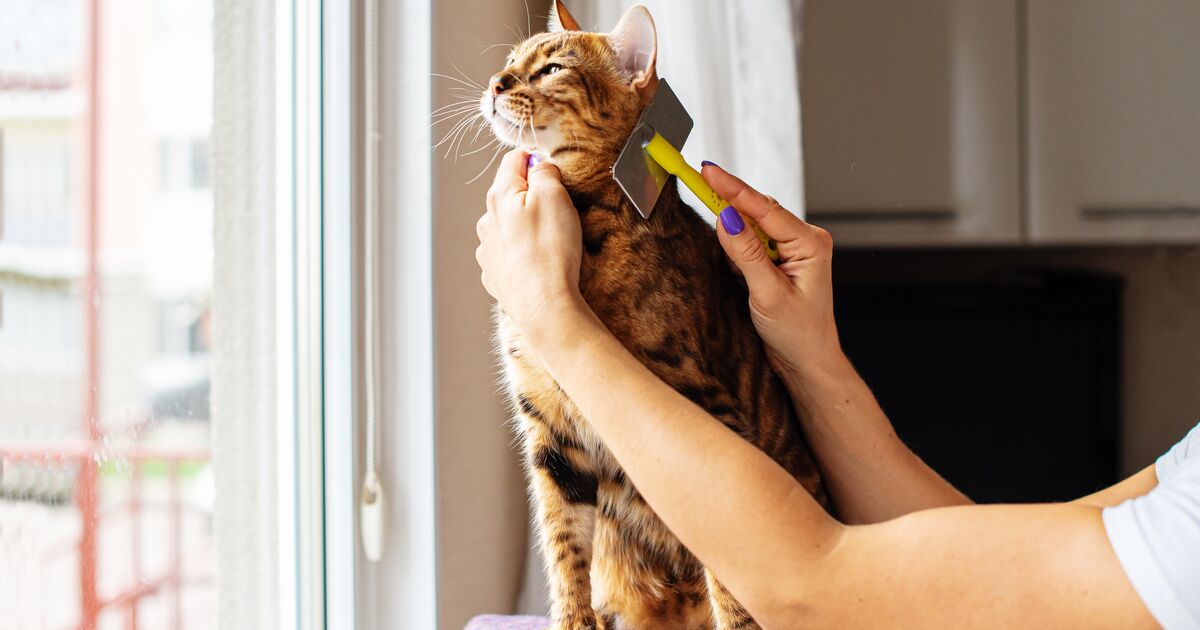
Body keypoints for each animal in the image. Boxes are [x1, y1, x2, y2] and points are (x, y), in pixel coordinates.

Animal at [477, 2, 835, 624]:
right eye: (509, 62)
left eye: (551, 69)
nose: (497, 83)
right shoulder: (549, 429)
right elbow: (564, 548)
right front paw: (574, 621)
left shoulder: (707, 411)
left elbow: (730, 575)